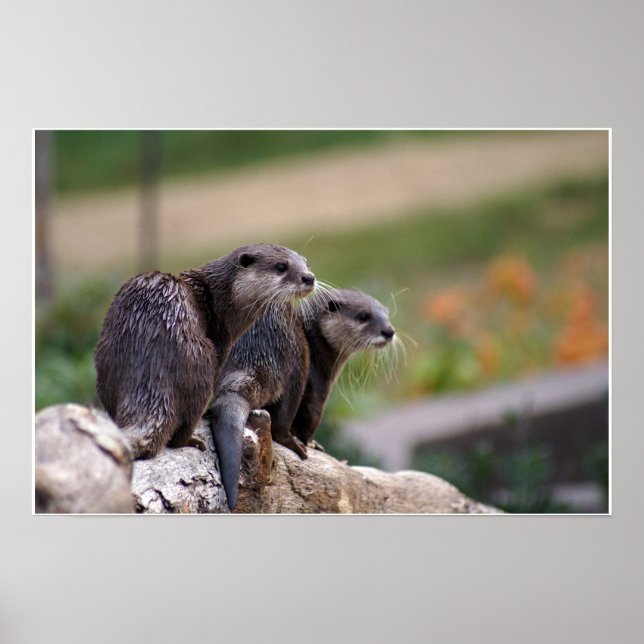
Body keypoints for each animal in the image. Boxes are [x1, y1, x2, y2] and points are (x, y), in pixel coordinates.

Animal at [94, 244, 316, 459]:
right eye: (281, 267)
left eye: (305, 262)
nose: (309, 277)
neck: (220, 302)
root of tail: (151, 374)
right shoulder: (221, 341)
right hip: (202, 363)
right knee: (183, 428)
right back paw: (192, 440)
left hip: (105, 360)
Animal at [211, 287, 395, 510]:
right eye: (363, 316)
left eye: (386, 314)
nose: (389, 331)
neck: (317, 343)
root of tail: (253, 356)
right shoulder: (318, 382)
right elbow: (310, 416)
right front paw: (312, 444)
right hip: (297, 360)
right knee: (281, 422)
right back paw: (295, 444)